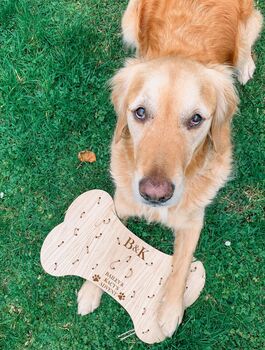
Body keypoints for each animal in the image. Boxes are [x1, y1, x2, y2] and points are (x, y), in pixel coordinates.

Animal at [77, 0, 262, 340]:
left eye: (196, 119)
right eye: (139, 112)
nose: (155, 194)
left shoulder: (192, 219)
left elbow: (181, 264)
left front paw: (169, 312)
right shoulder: (121, 201)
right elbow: (109, 238)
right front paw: (89, 290)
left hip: (251, 25)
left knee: (244, 50)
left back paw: (244, 67)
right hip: (129, 18)